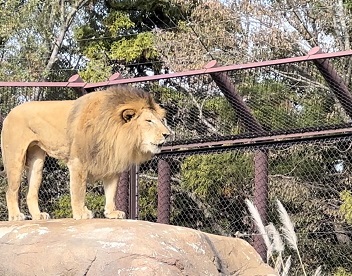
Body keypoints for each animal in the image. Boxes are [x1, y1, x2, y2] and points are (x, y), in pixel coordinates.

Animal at [0, 85, 170, 221]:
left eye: (161, 120)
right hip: (15, 158)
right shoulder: (78, 162)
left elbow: (112, 191)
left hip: (37, 161)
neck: (113, 132)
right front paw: (81, 213)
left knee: (31, 193)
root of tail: (10, 112)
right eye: (149, 121)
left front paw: (112, 212)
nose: (168, 134)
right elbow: (78, 190)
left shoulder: (110, 162)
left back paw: (38, 216)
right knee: (10, 191)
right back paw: (16, 216)